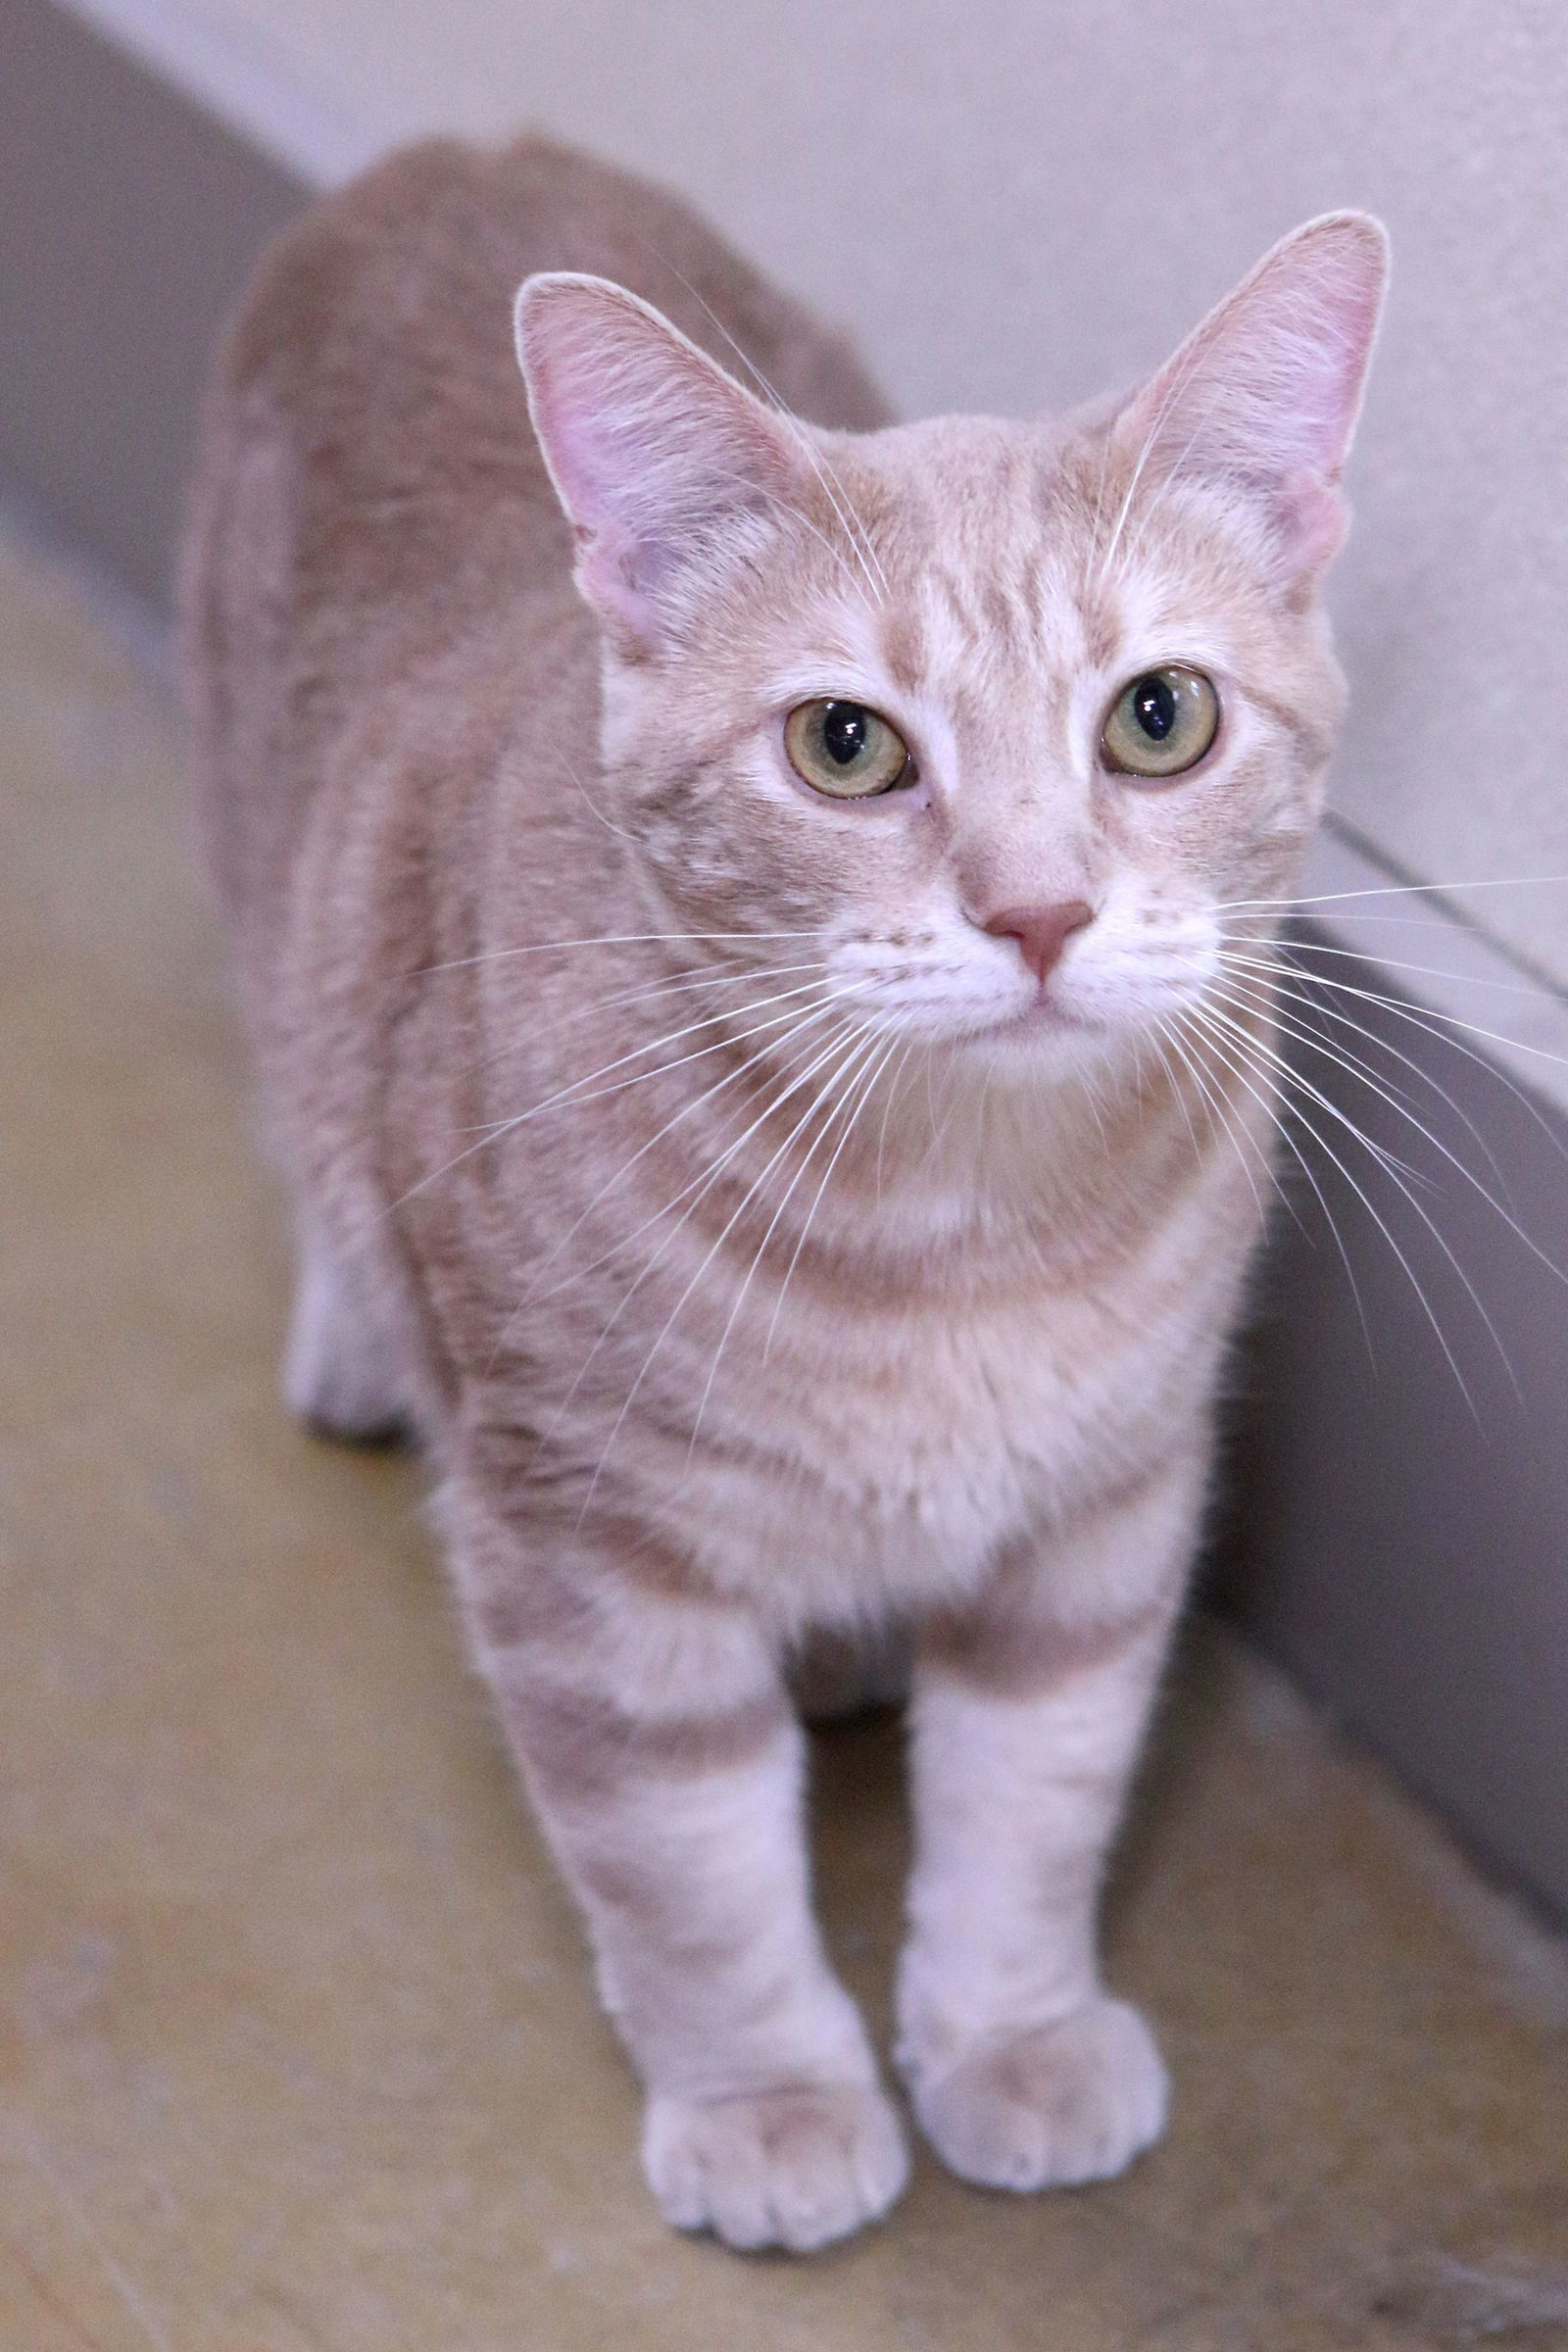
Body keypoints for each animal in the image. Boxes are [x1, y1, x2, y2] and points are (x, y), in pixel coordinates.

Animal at [180, 133, 1382, 2258]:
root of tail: (446, 153)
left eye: (1157, 717)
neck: (965, 1243)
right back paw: (356, 1340)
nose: (1038, 912)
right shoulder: (587, 1569)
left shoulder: (1103, 1513)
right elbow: (691, 1883)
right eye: (845, 746)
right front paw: (767, 2098)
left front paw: (1010, 2032)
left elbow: (1033, 1810)